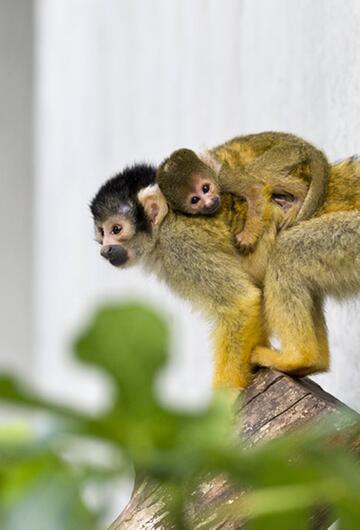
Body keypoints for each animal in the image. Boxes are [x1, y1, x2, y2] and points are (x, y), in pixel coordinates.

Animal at [158, 129, 330, 250]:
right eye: (195, 200)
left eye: (206, 188)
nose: (209, 204)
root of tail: (301, 143)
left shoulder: (224, 177)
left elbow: (256, 188)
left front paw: (247, 237)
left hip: (287, 152)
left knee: (260, 172)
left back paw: (300, 194)